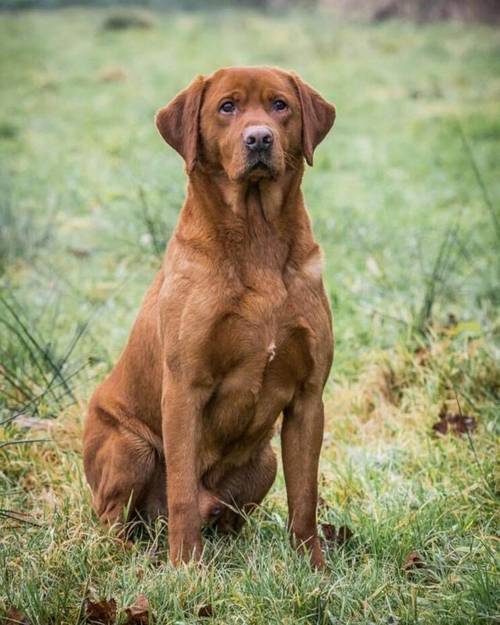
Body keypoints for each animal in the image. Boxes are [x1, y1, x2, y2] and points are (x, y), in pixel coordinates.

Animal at [84, 64, 336, 564]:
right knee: (115, 521)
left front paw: (312, 567)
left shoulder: (308, 397)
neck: (256, 237)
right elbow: (182, 491)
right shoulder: (185, 389)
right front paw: (186, 567)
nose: (259, 139)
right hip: (130, 446)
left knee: (231, 516)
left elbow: (305, 497)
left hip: (264, 461)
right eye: (227, 107)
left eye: (280, 105)